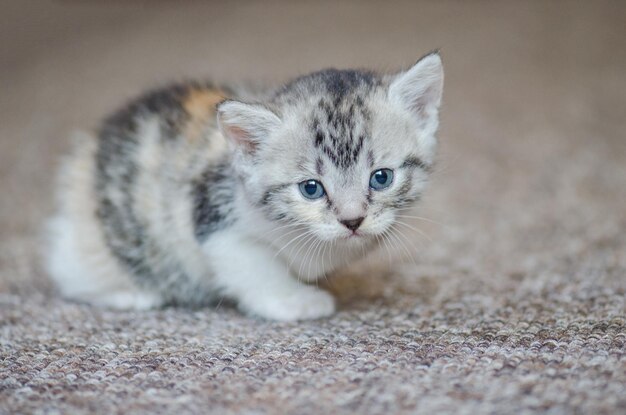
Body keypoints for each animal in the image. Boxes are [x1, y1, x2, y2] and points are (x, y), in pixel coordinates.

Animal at [46, 51, 442, 322]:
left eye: (381, 177)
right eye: (311, 188)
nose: (352, 220)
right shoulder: (215, 218)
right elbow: (254, 268)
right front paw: (294, 300)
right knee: (69, 273)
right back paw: (128, 293)